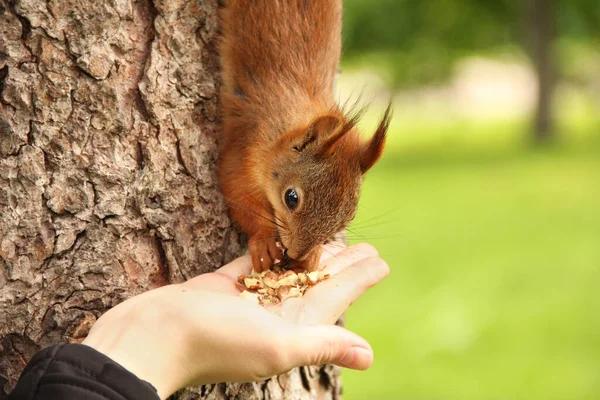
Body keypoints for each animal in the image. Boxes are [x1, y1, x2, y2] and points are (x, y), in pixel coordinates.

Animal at [218, 0, 392, 272]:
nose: (297, 253)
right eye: (291, 198)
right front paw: (264, 240)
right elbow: (238, 195)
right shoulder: (242, 150)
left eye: (349, 217)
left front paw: (311, 256)